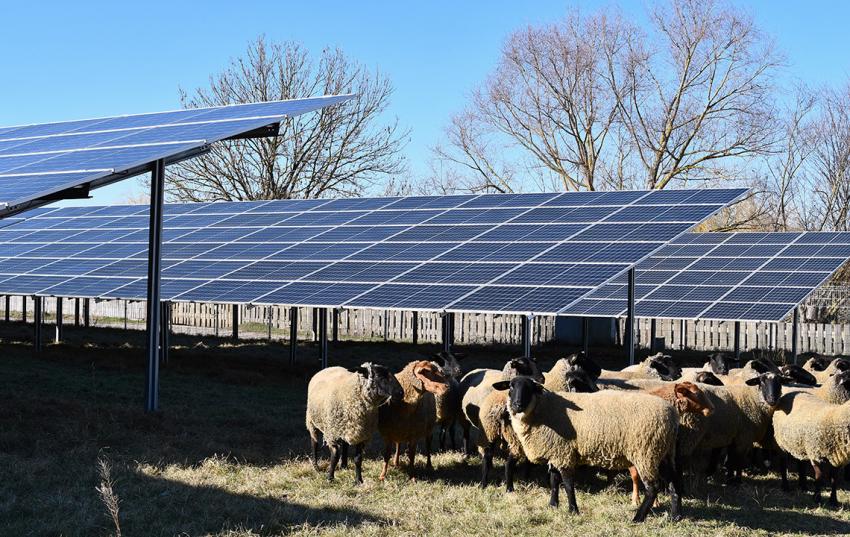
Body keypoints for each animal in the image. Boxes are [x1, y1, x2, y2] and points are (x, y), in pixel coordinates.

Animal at [494, 374, 680, 520]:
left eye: (530, 388)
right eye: (510, 386)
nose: (517, 405)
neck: (543, 409)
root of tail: (672, 415)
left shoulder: (564, 452)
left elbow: (568, 484)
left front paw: (573, 510)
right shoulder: (556, 451)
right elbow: (554, 481)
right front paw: (553, 505)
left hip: (646, 452)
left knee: (653, 488)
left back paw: (638, 518)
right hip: (664, 453)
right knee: (673, 484)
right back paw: (674, 516)